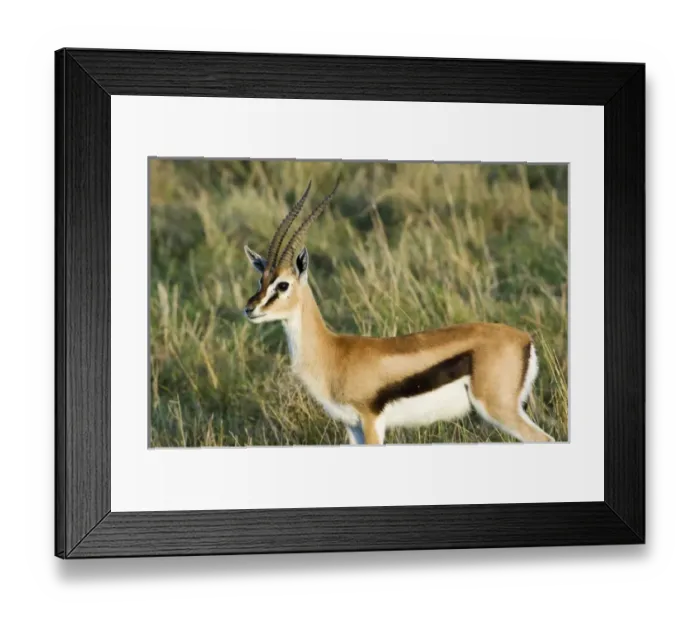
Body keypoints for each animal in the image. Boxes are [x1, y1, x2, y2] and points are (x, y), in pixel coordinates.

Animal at [242, 179, 555, 446]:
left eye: (283, 284)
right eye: (261, 280)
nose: (249, 309)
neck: (333, 352)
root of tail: (525, 339)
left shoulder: (370, 421)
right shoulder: (353, 427)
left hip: (499, 409)